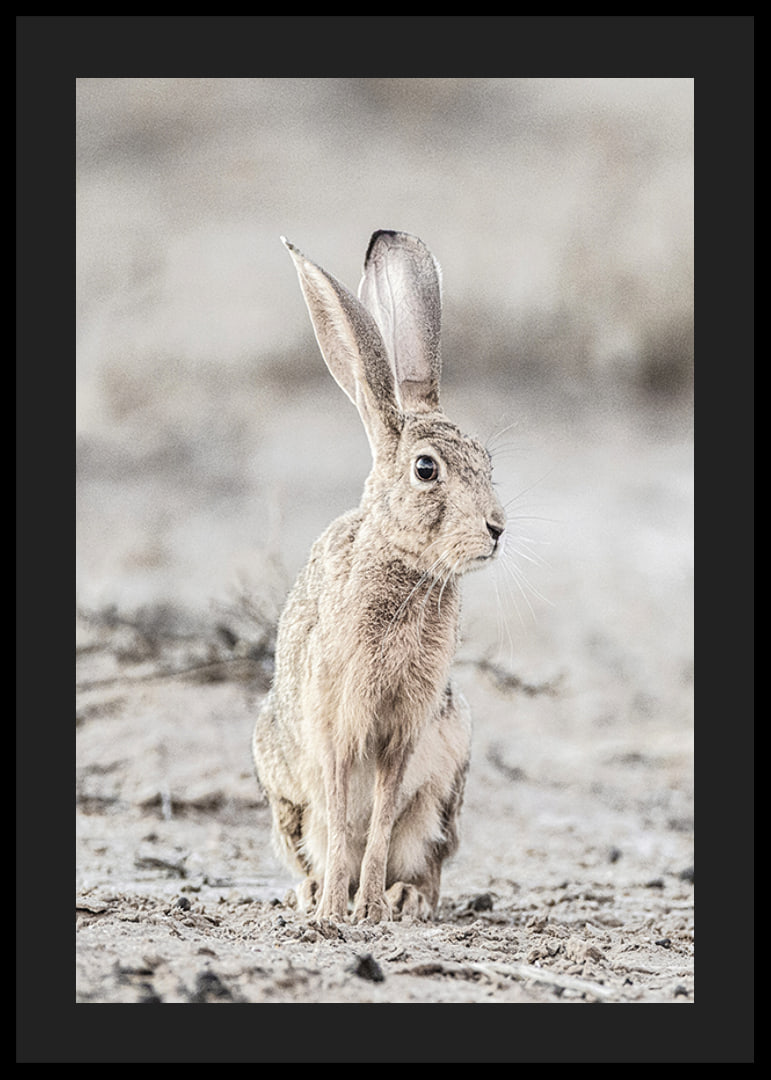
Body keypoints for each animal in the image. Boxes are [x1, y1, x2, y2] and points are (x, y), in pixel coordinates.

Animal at [252, 230, 506, 923]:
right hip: (285, 791)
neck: (404, 567)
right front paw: (336, 911)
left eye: (487, 462)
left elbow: (383, 818)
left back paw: (404, 897)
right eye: (426, 470)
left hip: (448, 780)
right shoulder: (338, 724)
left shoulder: (405, 732)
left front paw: (368, 908)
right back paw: (313, 893)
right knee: (315, 838)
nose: (497, 529)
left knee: (424, 856)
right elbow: (345, 818)